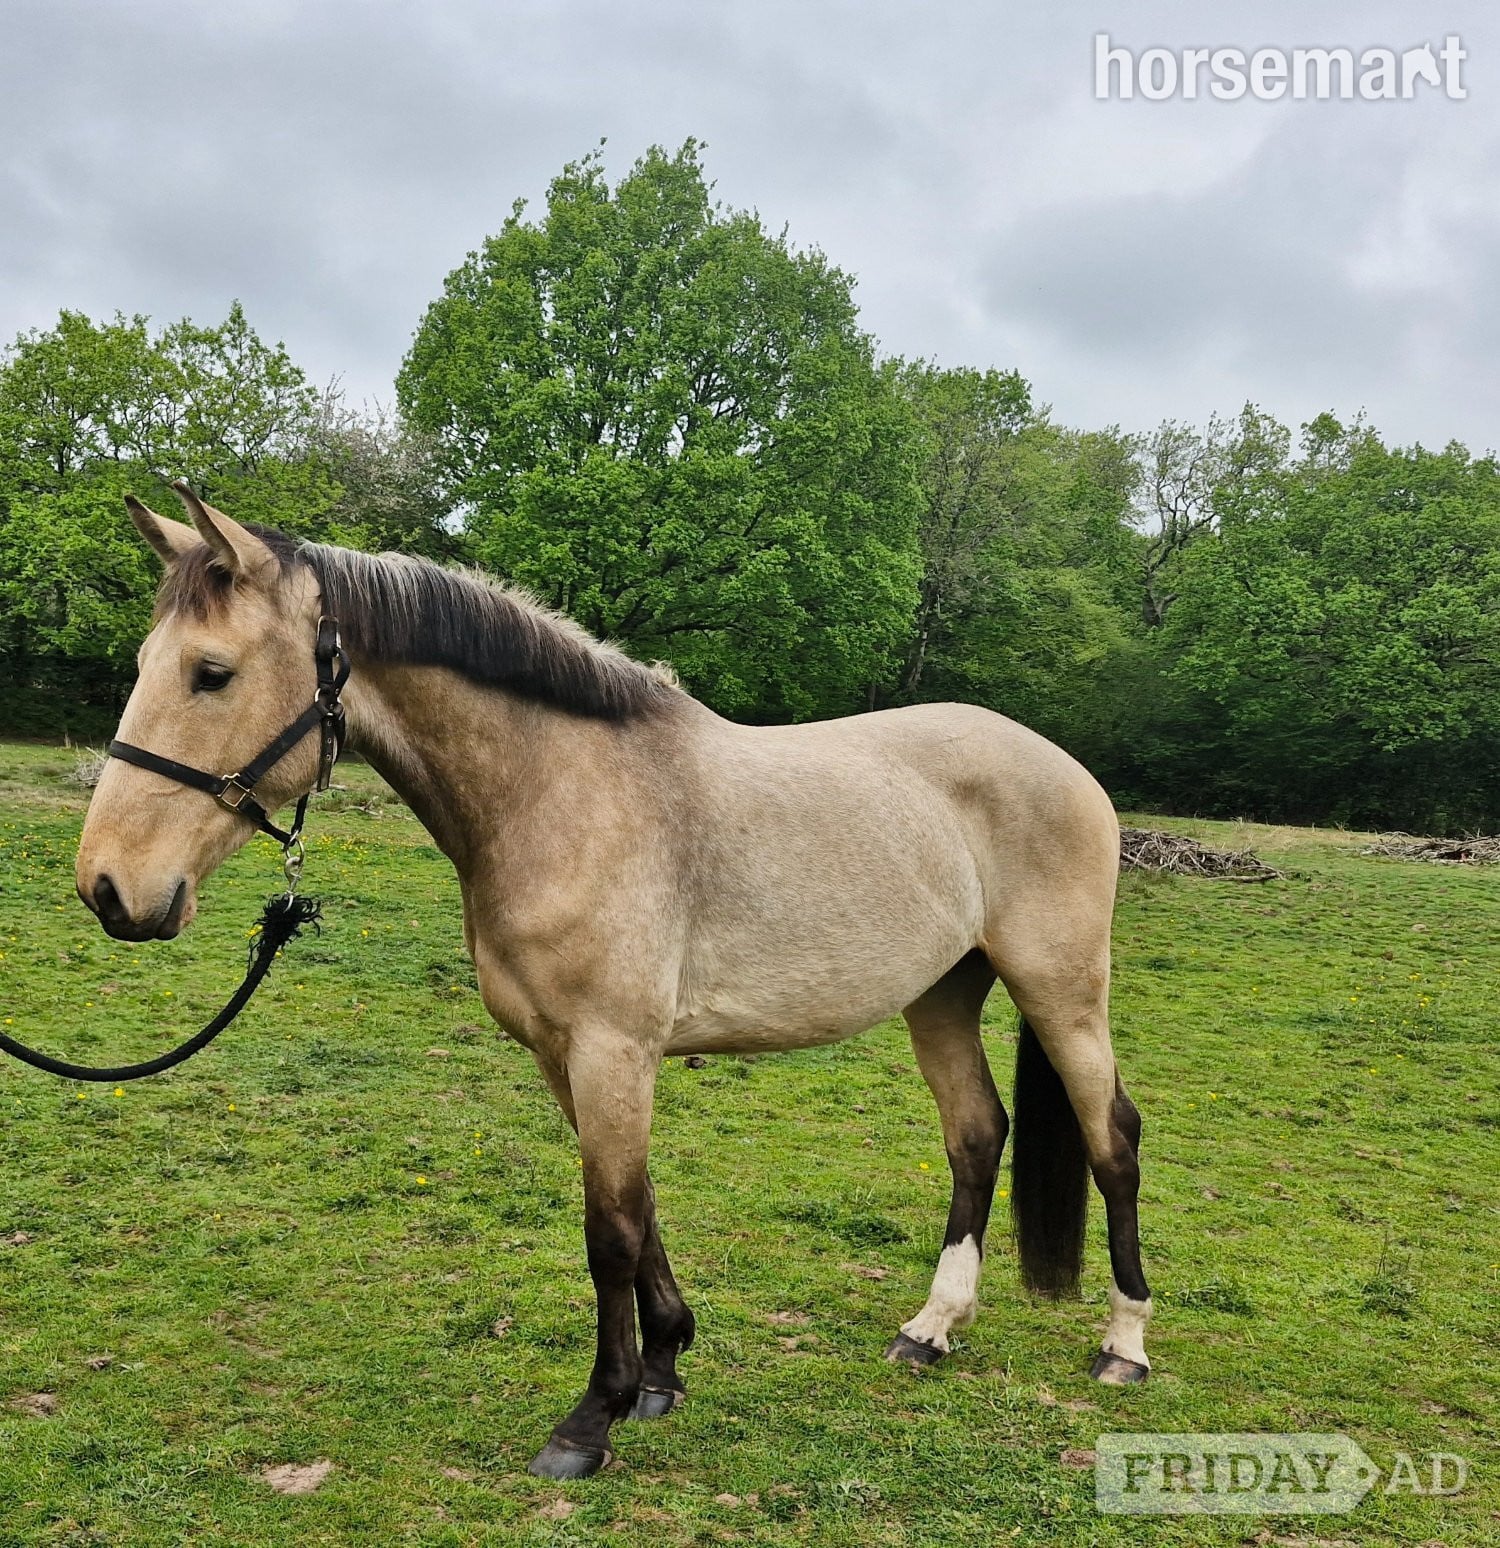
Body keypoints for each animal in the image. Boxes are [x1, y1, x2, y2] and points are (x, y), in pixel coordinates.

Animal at [74, 484, 1152, 1480]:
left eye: (212, 675)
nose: (110, 889)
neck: (560, 793)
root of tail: (1064, 767)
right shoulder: (568, 1055)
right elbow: (640, 1215)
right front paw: (664, 1371)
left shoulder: (614, 1050)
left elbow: (610, 1234)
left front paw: (592, 1419)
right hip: (942, 993)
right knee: (976, 1137)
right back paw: (931, 1328)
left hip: (1062, 991)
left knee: (1112, 1140)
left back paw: (1124, 1345)